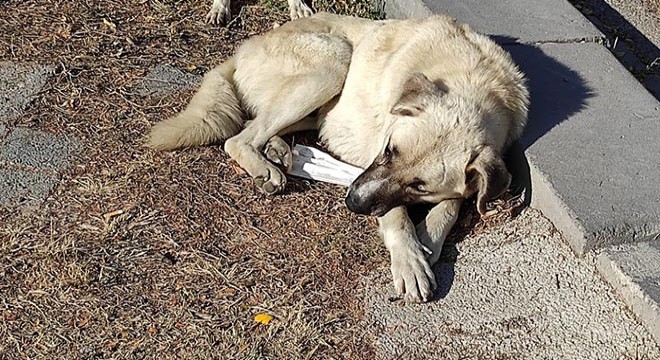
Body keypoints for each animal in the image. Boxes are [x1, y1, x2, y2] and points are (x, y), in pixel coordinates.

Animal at [148, 12, 532, 302]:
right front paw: (409, 260)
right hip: (333, 65)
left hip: (320, 100)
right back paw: (265, 168)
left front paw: (428, 241)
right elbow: (396, 215)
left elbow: (451, 206)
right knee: (238, 137)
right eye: (389, 150)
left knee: (255, 125)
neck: (471, 79)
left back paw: (278, 152)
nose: (352, 202)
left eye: (419, 186)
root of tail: (244, 48)